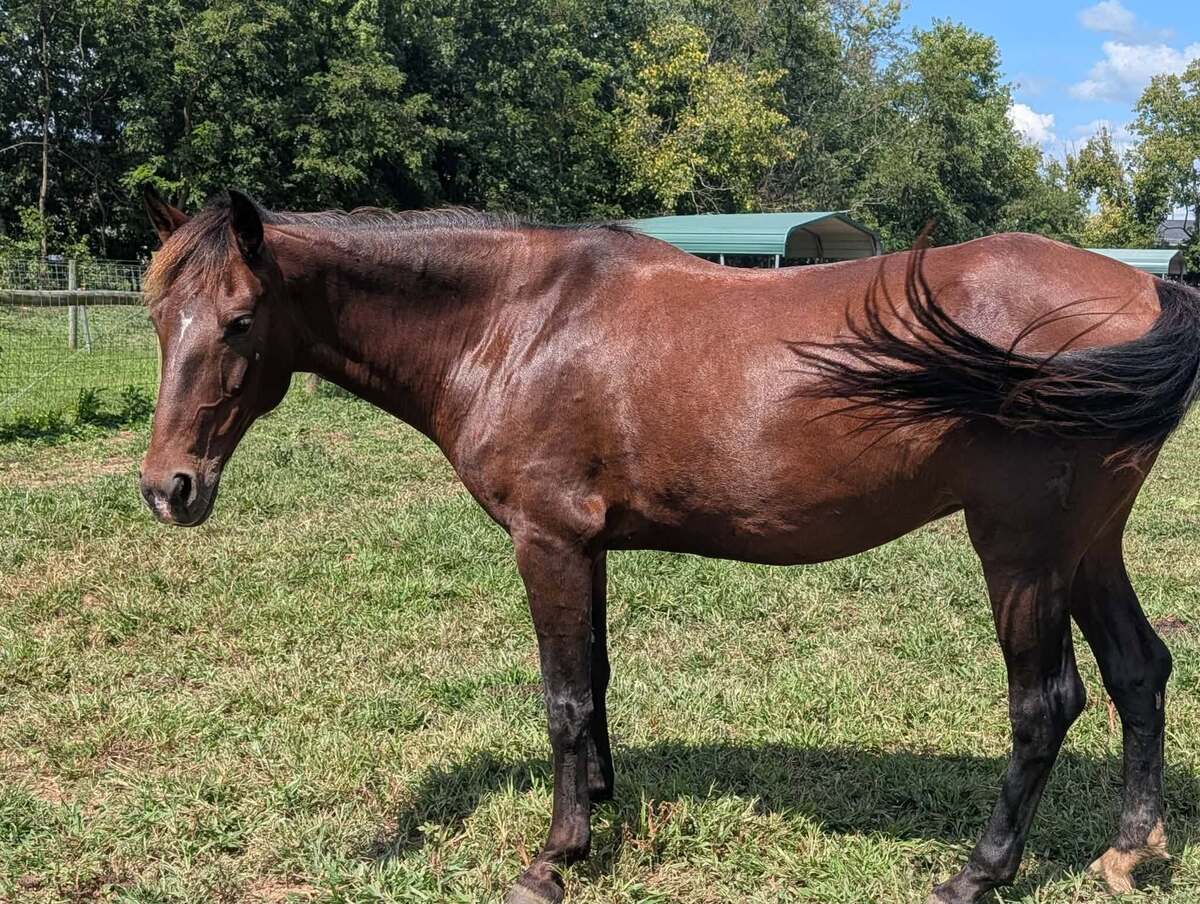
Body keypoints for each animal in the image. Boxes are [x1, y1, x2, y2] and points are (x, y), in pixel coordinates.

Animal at [138, 186, 1200, 904]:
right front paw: (600, 803)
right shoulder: (587, 546)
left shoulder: (547, 541)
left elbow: (563, 697)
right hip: (1087, 548)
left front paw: (555, 856)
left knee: (1045, 703)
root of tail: (1143, 291)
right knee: (1139, 669)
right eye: (157, 317)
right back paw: (1128, 849)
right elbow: (595, 679)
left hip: (1021, 553)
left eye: (239, 321)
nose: (167, 489)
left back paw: (977, 873)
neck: (517, 320)